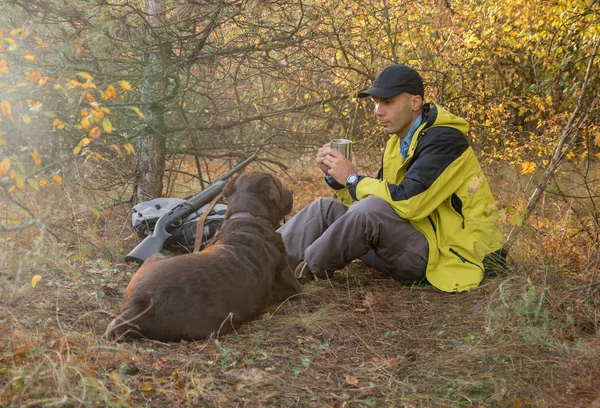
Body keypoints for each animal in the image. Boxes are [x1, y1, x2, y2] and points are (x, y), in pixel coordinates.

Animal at [106, 172, 302, 342]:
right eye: (279, 184)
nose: (292, 191)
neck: (247, 217)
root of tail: (138, 307)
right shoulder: (293, 286)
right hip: (158, 257)